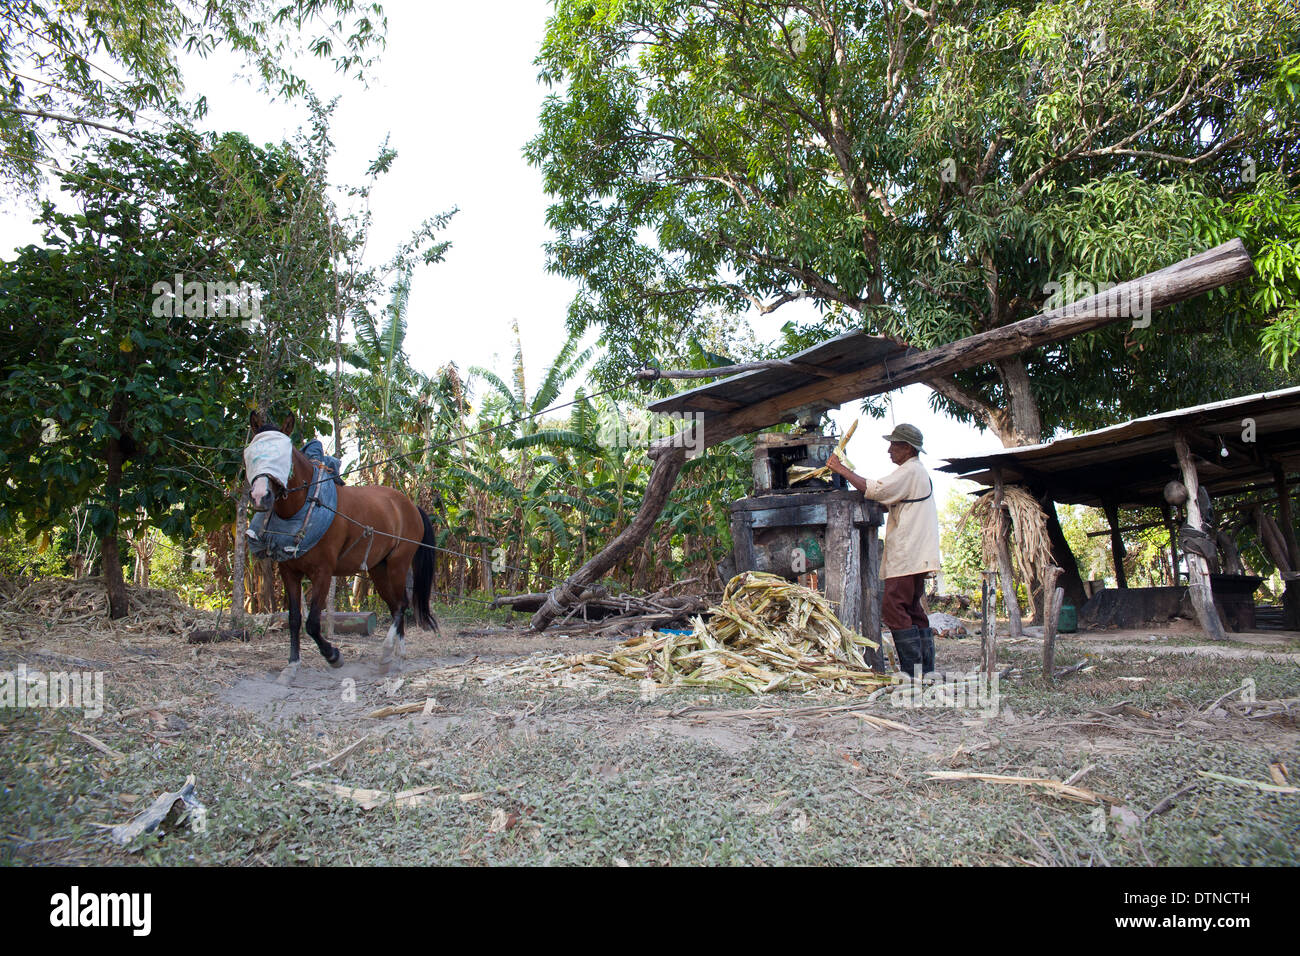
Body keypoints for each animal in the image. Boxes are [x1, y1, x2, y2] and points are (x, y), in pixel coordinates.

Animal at [244, 416, 441, 686]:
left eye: (284, 456)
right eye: (252, 452)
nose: (260, 496)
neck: (307, 506)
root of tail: (410, 506)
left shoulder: (323, 572)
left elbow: (312, 623)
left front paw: (333, 656)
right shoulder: (288, 572)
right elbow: (294, 620)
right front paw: (291, 667)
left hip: (398, 564)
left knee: (402, 605)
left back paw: (388, 655)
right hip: (379, 569)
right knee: (395, 606)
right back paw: (397, 658)